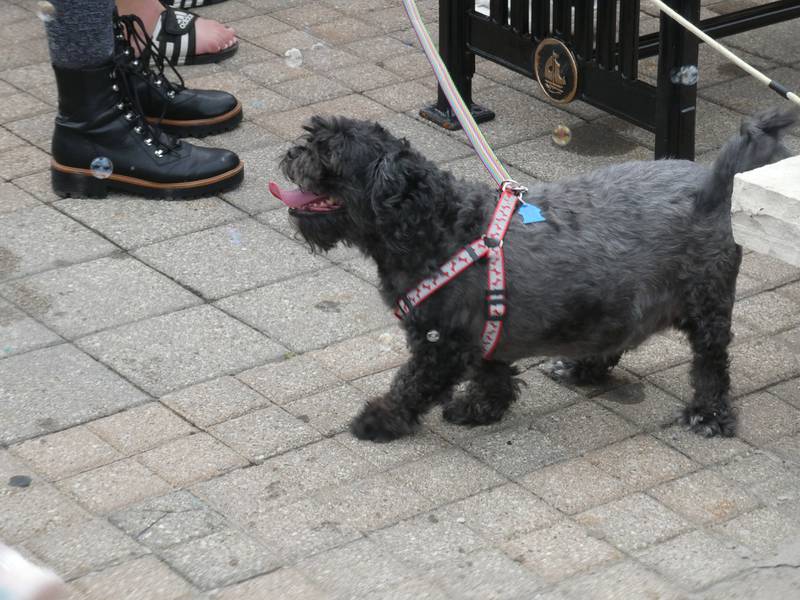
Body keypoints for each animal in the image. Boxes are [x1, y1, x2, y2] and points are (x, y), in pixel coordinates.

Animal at [274, 106, 792, 440]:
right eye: (311, 142)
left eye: (327, 155)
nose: (291, 153)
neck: (435, 224)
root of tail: (713, 185)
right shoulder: (485, 325)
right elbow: (491, 371)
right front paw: (483, 408)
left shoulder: (440, 341)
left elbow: (414, 382)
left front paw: (381, 419)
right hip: (619, 296)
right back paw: (583, 367)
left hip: (707, 304)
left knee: (711, 363)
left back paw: (709, 414)